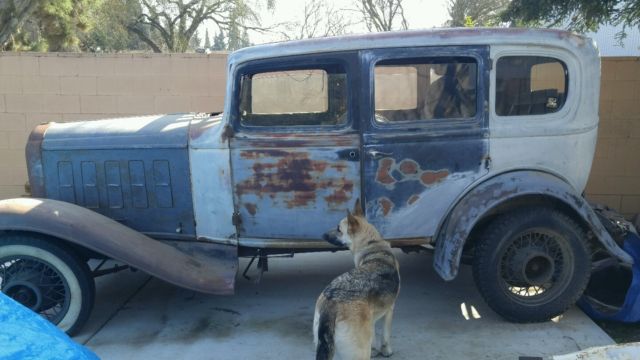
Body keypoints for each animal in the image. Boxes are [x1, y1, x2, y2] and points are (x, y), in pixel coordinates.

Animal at [314, 200, 400, 360]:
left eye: (339, 229)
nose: (321, 235)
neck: (372, 244)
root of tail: (331, 303)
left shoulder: (372, 317)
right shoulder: (390, 309)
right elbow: (385, 335)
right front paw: (386, 351)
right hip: (359, 353)